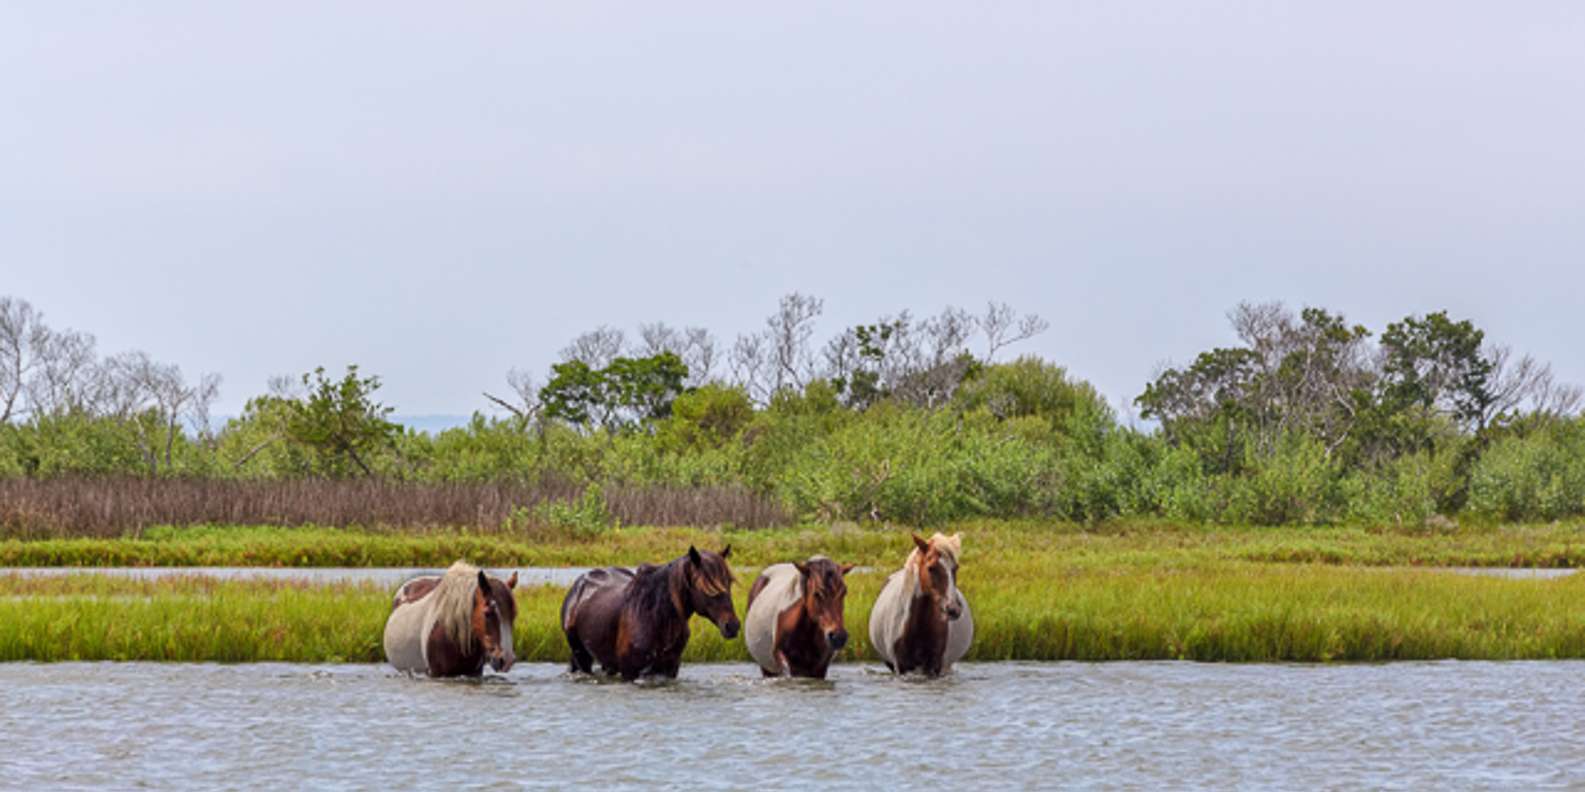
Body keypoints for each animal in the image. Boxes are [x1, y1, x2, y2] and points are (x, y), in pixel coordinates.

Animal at [561, 544, 738, 681]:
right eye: (707, 586)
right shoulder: (630, 671)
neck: (657, 618)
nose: (732, 625)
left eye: (729, 582)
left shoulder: (669, 670)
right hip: (581, 655)